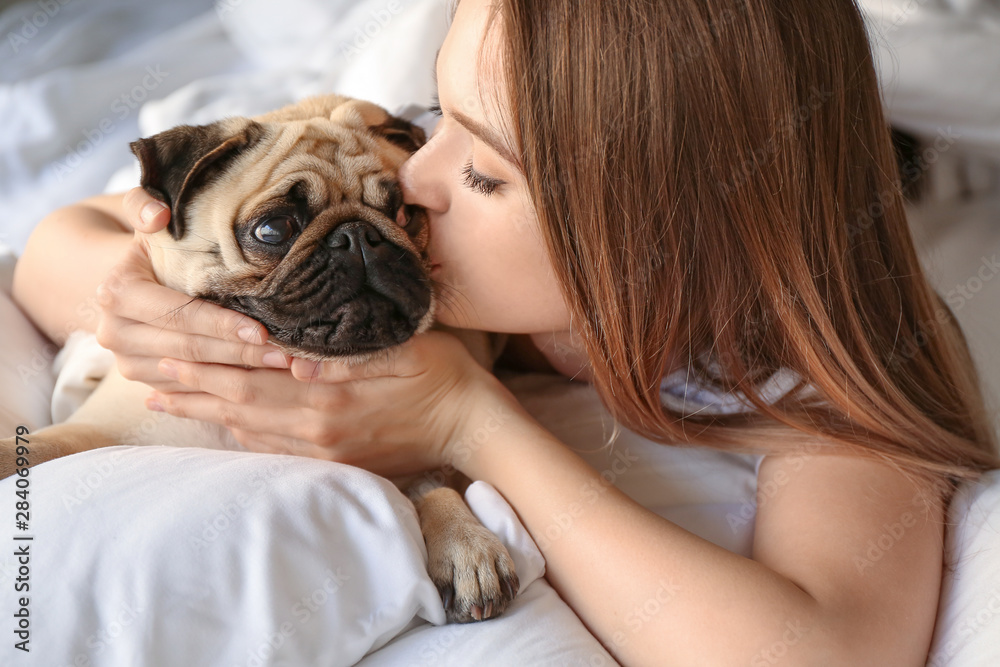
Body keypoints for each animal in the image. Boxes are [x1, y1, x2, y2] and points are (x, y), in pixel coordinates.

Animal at [5, 94, 524, 628]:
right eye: (273, 229)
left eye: (404, 214)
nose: (360, 237)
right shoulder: (96, 430)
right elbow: (42, 447)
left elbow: (433, 487)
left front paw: (463, 541)